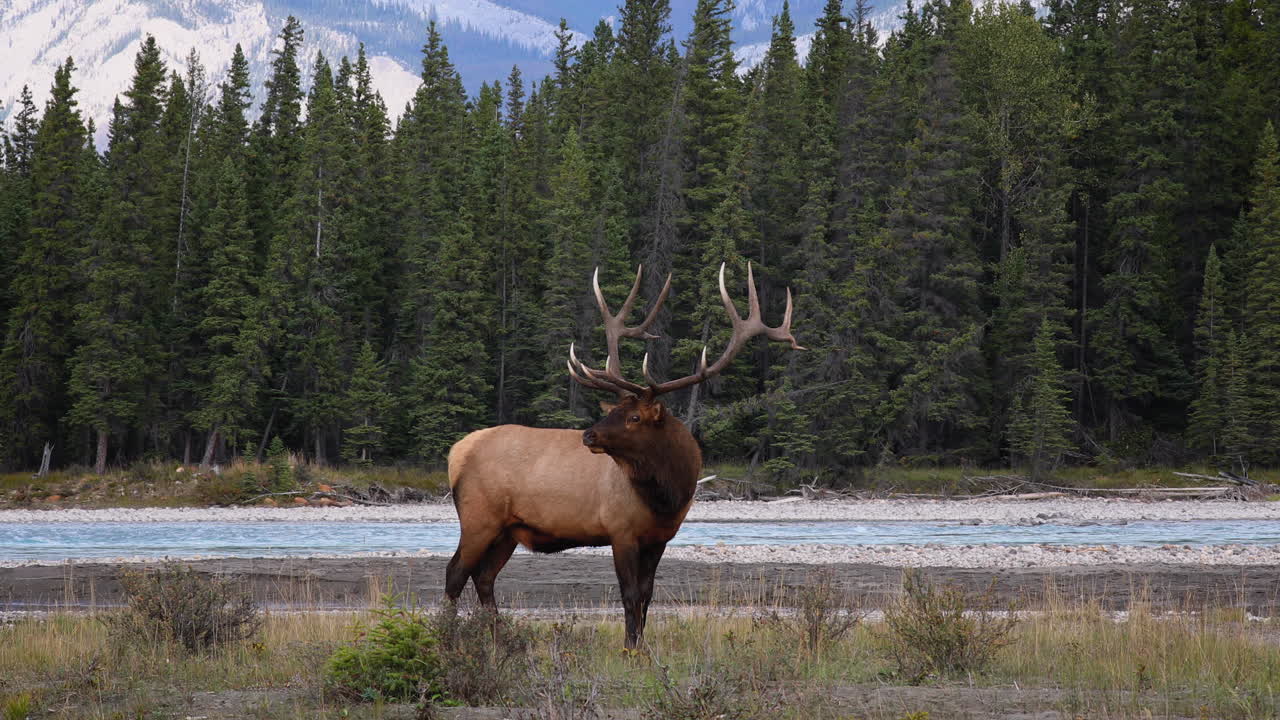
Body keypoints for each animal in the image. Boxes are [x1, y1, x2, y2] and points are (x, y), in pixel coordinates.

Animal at [442, 260, 798, 648]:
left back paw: (498, 636)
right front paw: (630, 647)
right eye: (616, 410)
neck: (667, 495)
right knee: (455, 572)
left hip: (508, 529)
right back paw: (448, 635)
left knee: (484, 576)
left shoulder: (660, 538)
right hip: (479, 516)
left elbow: (647, 594)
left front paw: (641, 645)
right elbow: (629, 594)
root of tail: (456, 452)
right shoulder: (620, 530)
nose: (588, 434)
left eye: (634, 417)